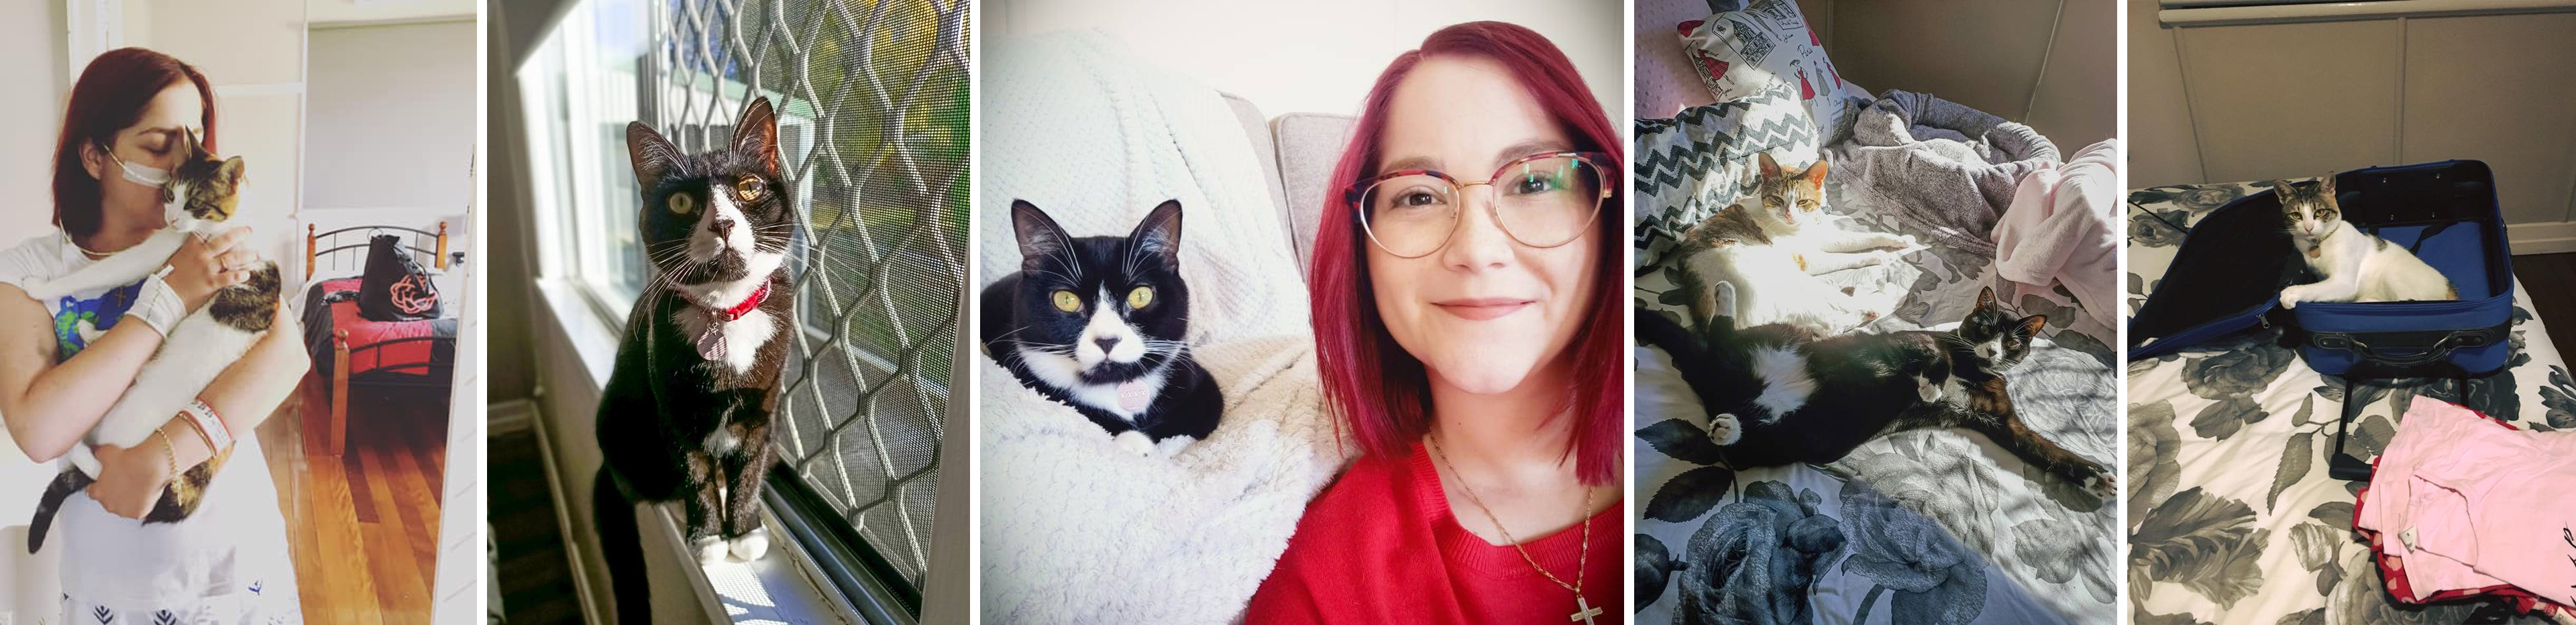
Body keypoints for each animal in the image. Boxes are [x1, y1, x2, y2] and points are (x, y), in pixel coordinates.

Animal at [593, 97, 797, 621]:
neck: (724, 314)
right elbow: (693, 471)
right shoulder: (673, 408)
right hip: (618, 426)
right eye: (681, 202)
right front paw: (706, 537)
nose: (723, 223)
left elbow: (749, 467)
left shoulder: (763, 407)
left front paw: (744, 531)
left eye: (750, 187)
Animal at [980, 199, 1223, 456]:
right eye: (1066, 300)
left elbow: (1199, 414)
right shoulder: (1027, 374)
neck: (1113, 383)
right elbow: (1076, 409)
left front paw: (1141, 440)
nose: (1107, 340)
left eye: (1141, 296)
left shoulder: (1197, 381)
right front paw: (1133, 441)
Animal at [1638, 285, 2116, 497]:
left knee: (1740, 448)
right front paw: (1930, 387)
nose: (1994, 349)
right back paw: (1725, 294)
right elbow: (1936, 355)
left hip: (1805, 436)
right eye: (1983, 327)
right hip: (1780, 337)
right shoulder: (1923, 341)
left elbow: (2043, 448)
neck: (1977, 370)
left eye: (2013, 343)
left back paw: (1727, 427)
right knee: (1719, 334)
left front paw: (2094, 476)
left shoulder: (2002, 420)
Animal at [1667, 152, 1917, 336]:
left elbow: (1863, 238)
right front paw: (1879, 255)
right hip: (1801, 283)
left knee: (1832, 325)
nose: (1789, 214)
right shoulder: (1807, 259)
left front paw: (1900, 240)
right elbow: (1847, 257)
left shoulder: (1823, 237)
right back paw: (1891, 295)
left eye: (1803, 201)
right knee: (1846, 311)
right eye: (1777, 199)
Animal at [2274, 174, 2459, 308]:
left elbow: (2317, 288)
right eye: (2296, 215)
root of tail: (2449, 287)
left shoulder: (2344, 282)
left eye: (2319, 212)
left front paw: (2292, 293)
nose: (2309, 228)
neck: (2319, 243)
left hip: (2393, 275)